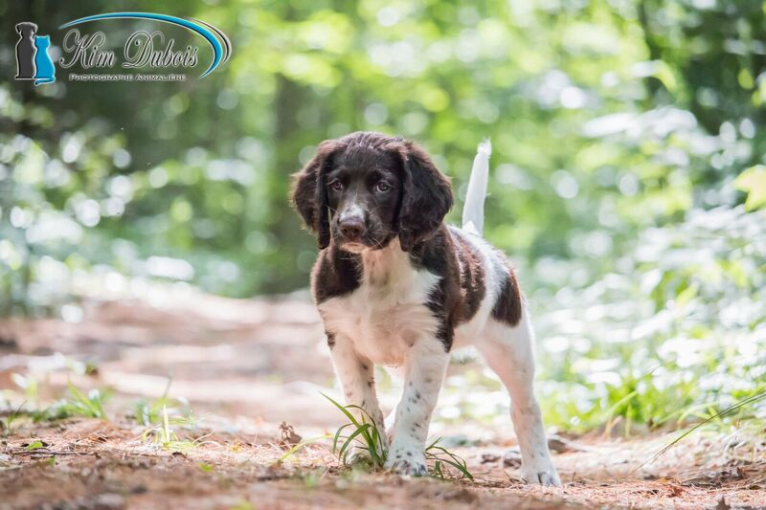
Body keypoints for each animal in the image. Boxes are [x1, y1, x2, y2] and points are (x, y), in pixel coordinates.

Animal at [292, 131, 560, 486]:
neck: (379, 265)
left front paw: (406, 461)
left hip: (512, 347)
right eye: (336, 185)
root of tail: (481, 243)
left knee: (526, 405)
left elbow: (415, 405)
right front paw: (365, 454)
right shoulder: (342, 338)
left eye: (383, 186)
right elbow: (362, 403)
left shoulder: (430, 340)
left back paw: (540, 469)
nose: (349, 226)